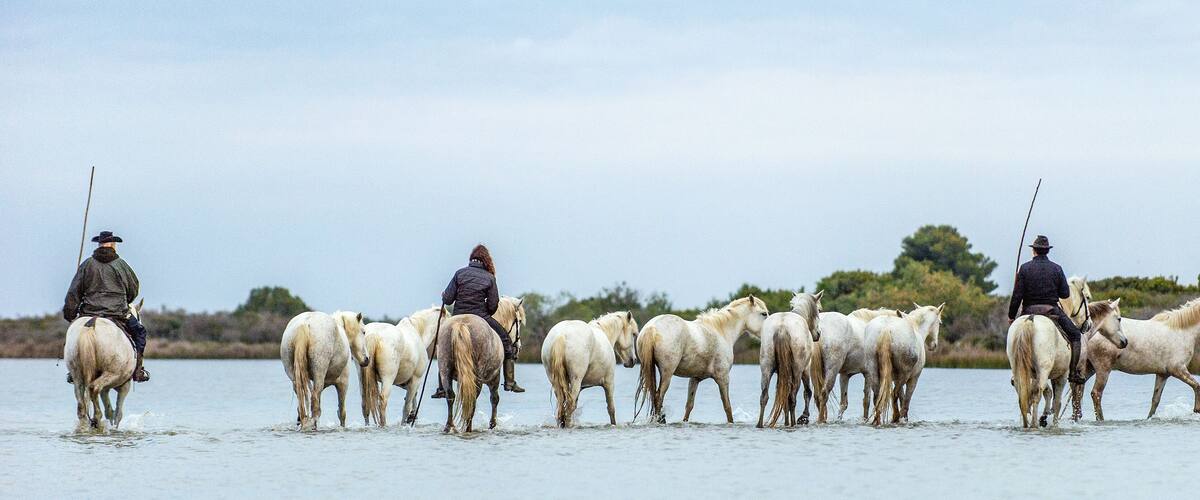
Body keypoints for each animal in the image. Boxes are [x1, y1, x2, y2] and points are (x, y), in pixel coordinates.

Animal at [64, 299, 144, 432]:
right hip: (112, 374)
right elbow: (117, 413)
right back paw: (96, 418)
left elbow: (109, 411)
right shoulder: (125, 385)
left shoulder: (105, 389)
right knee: (93, 388)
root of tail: (90, 325)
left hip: (77, 374)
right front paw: (114, 428)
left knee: (82, 406)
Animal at [636, 296, 769, 424]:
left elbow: (689, 406)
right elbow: (727, 406)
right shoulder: (723, 377)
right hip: (667, 373)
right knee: (659, 396)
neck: (721, 331)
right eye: (764, 314)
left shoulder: (695, 378)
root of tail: (652, 328)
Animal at [756, 291, 823, 428]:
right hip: (797, 371)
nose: (818, 334)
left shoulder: (782, 373)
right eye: (819, 310)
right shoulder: (805, 369)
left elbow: (783, 396)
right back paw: (793, 423)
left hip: (766, 369)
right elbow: (807, 392)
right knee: (792, 397)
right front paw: (804, 417)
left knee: (764, 396)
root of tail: (782, 328)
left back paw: (760, 424)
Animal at [1006, 277, 1127, 428]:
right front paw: (1063, 420)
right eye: (1119, 319)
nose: (1125, 341)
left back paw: (1027, 423)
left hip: (1021, 370)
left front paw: (1045, 416)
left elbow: (1050, 394)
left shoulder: (1050, 374)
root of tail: (1030, 320)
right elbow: (1068, 398)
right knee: (1036, 395)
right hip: (1043, 371)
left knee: (1023, 394)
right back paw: (1034, 424)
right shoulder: (1071, 373)